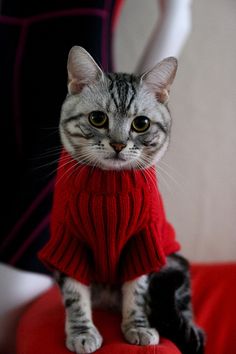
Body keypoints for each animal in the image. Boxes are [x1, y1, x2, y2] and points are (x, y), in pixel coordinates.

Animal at [38, 47, 205, 354]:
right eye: (97, 118)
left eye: (141, 124)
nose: (117, 144)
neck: (108, 187)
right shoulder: (69, 244)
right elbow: (74, 295)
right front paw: (82, 332)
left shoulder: (143, 244)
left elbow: (137, 292)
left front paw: (137, 327)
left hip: (173, 262)